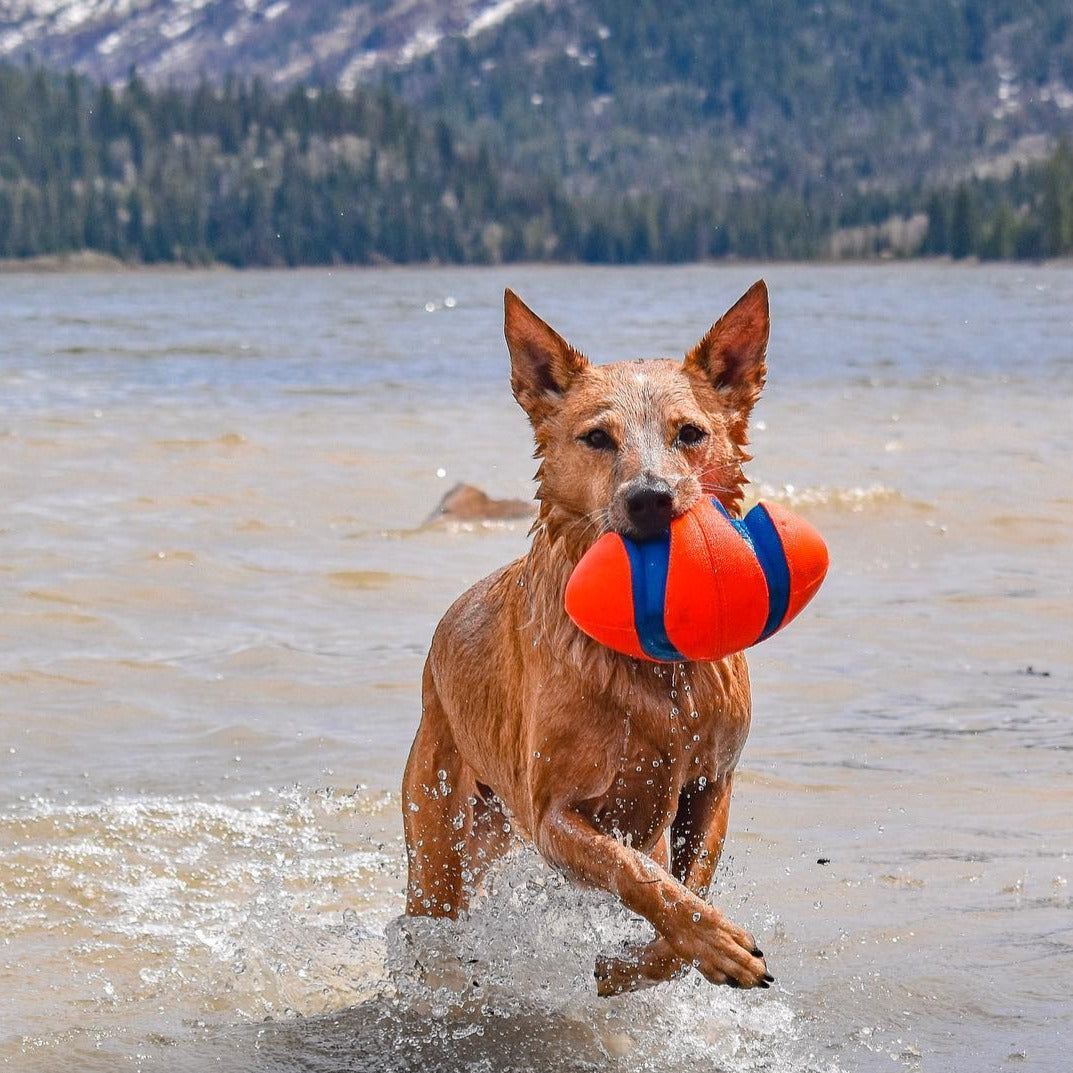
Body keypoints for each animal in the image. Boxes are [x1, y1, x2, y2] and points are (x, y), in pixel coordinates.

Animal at [403, 281, 772, 991]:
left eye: (690, 433)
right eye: (597, 437)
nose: (651, 498)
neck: (650, 661)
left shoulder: (710, 787)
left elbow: (689, 881)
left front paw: (636, 965)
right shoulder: (553, 814)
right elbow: (639, 875)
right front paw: (705, 944)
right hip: (441, 833)